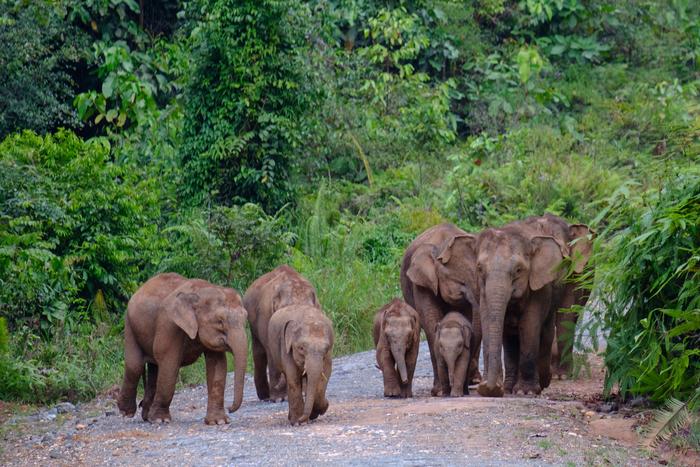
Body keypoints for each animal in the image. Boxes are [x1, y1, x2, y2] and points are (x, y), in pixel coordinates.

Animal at [241, 266, 318, 402]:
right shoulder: (266, 318)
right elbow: (272, 350)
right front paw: (279, 398)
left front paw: (303, 392)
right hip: (252, 323)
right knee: (259, 353)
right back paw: (265, 396)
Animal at [474, 225, 568, 396]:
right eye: (480, 268)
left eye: (518, 270)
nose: (489, 388)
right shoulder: (481, 291)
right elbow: (488, 322)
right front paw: (492, 389)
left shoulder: (540, 287)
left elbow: (529, 326)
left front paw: (526, 392)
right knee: (510, 339)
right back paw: (509, 388)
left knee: (545, 333)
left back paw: (543, 382)